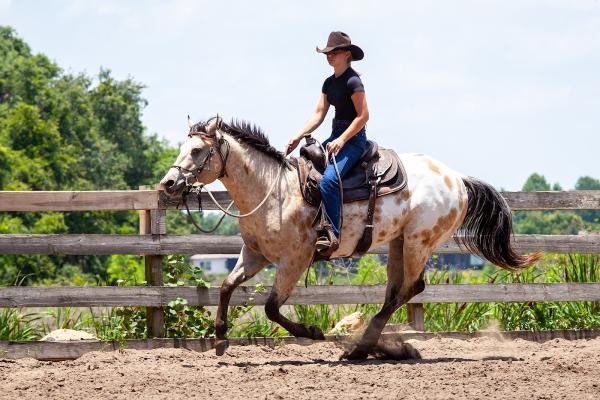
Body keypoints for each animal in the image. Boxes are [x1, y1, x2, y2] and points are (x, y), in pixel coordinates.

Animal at [159, 115, 544, 360]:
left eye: (196, 151)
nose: (168, 184)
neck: (274, 191)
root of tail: (458, 180)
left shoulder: (294, 260)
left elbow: (270, 307)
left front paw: (313, 332)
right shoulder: (255, 255)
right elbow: (226, 287)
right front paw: (221, 338)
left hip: (419, 242)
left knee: (411, 288)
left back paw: (362, 346)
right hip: (398, 243)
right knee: (397, 290)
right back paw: (375, 346)